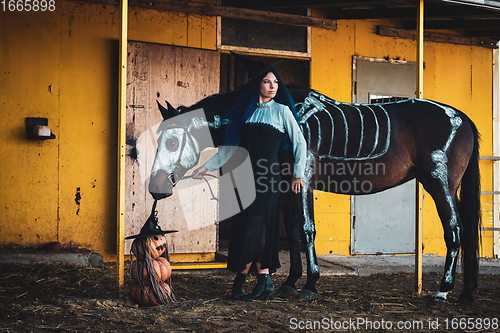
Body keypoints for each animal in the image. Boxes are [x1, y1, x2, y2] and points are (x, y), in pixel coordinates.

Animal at [148, 86, 480, 306]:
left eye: (173, 141)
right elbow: (294, 232)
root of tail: (462, 117)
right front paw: (290, 282)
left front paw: (310, 284)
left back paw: (442, 291)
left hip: (439, 184)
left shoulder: (303, 181)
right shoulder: (285, 188)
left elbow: (308, 230)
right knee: (466, 231)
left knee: (454, 231)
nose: (155, 187)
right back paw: (466, 292)